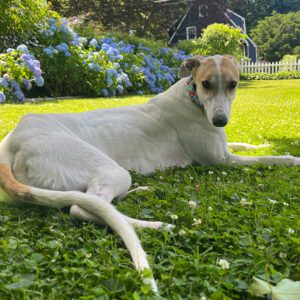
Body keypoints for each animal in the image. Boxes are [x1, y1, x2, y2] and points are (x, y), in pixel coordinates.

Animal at [0, 55, 298, 292]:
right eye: (206, 84)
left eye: (233, 84)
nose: (220, 121)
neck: (193, 99)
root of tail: (13, 141)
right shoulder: (222, 160)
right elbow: (267, 159)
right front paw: (291, 157)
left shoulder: (225, 148)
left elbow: (248, 145)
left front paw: (265, 143)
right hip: (110, 170)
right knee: (82, 207)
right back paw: (157, 225)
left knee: (96, 202)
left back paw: (140, 192)